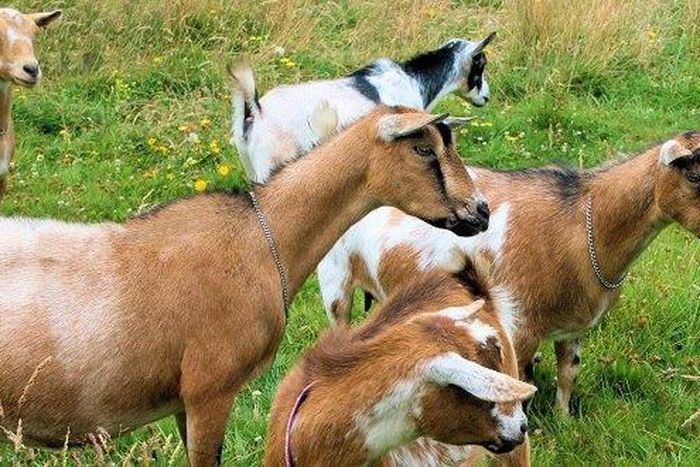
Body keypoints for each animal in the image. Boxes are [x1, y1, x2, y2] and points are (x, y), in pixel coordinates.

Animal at [229, 33, 495, 182]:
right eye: (480, 64)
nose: (486, 97)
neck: (413, 81)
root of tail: (255, 112)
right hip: (271, 163)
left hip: (251, 167)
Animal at [318, 131, 700, 415]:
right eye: (693, 173)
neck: (580, 227)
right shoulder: (518, 323)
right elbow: (518, 384)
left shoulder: (574, 328)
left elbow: (568, 374)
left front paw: (563, 422)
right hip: (336, 281)